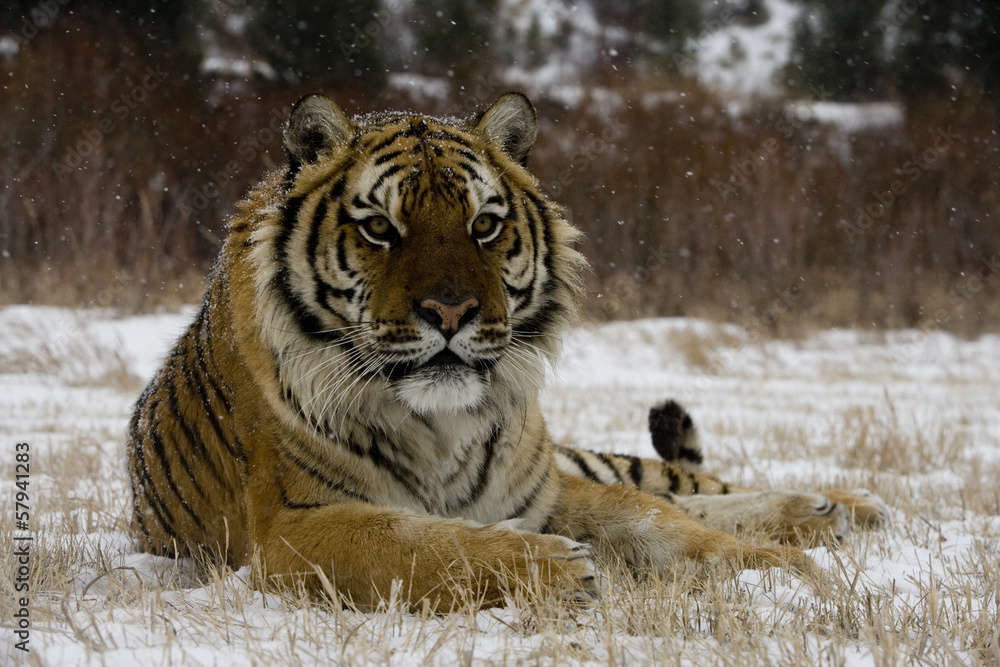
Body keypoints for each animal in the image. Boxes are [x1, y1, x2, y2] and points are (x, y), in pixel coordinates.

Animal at [126, 92, 887, 611]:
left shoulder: (545, 489)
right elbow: (419, 543)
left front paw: (786, 572)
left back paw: (844, 508)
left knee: (682, 487)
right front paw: (559, 568)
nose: (450, 311)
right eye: (381, 228)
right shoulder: (291, 527)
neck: (440, 425)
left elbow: (661, 523)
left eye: (484, 225)